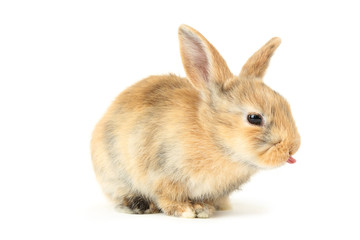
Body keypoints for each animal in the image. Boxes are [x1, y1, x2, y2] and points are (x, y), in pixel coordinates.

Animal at [90, 24, 300, 218]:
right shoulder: (161, 175)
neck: (213, 138)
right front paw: (188, 210)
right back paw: (138, 205)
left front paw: (204, 207)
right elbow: (168, 198)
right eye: (254, 118)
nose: (293, 147)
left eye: (285, 104)